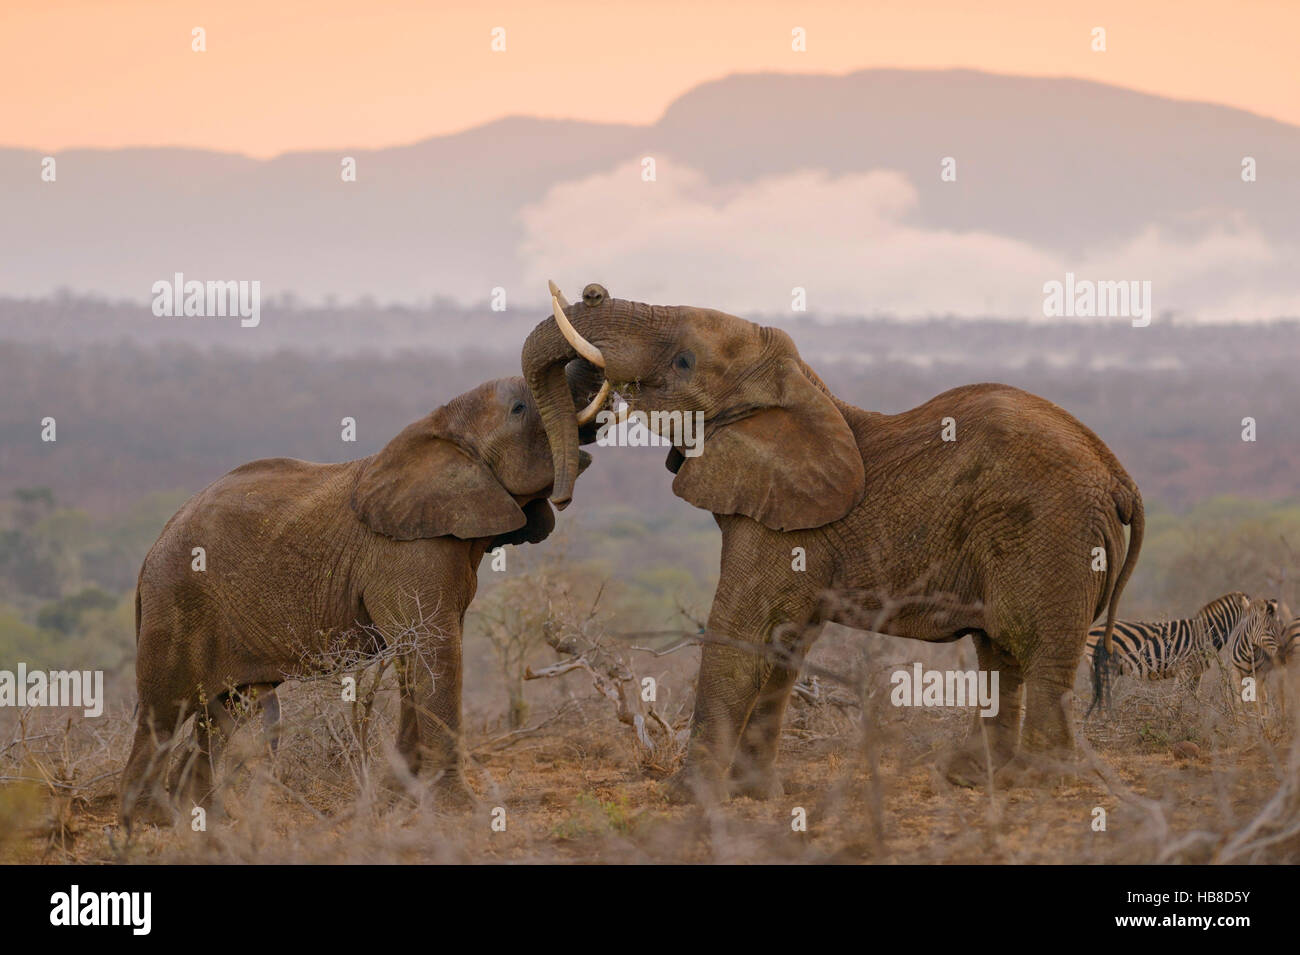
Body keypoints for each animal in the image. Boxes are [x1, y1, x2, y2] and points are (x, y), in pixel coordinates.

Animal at [116, 369, 603, 826]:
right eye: (519, 408)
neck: (441, 426)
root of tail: (151, 551)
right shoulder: (407, 551)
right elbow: (437, 652)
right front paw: (459, 810)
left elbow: (417, 658)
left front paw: (395, 800)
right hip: (177, 598)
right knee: (164, 710)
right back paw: (150, 821)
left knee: (222, 712)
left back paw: (209, 820)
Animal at [522, 281, 1144, 800]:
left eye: (684, 361)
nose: (592, 290)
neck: (800, 386)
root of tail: (1119, 476)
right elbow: (784, 647)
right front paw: (754, 795)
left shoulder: (785, 524)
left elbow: (738, 634)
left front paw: (688, 799)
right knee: (1000, 652)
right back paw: (973, 779)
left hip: (1053, 532)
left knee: (1037, 650)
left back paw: (1036, 783)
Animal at [1081, 589, 1284, 717]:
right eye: (1268, 628)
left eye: (1279, 626)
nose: (1280, 653)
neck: (1206, 633)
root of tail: (1091, 630)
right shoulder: (1185, 668)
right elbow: (1175, 699)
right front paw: (1171, 723)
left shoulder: (1196, 672)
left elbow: (1193, 699)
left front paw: (1195, 720)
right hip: (1106, 668)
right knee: (1101, 696)